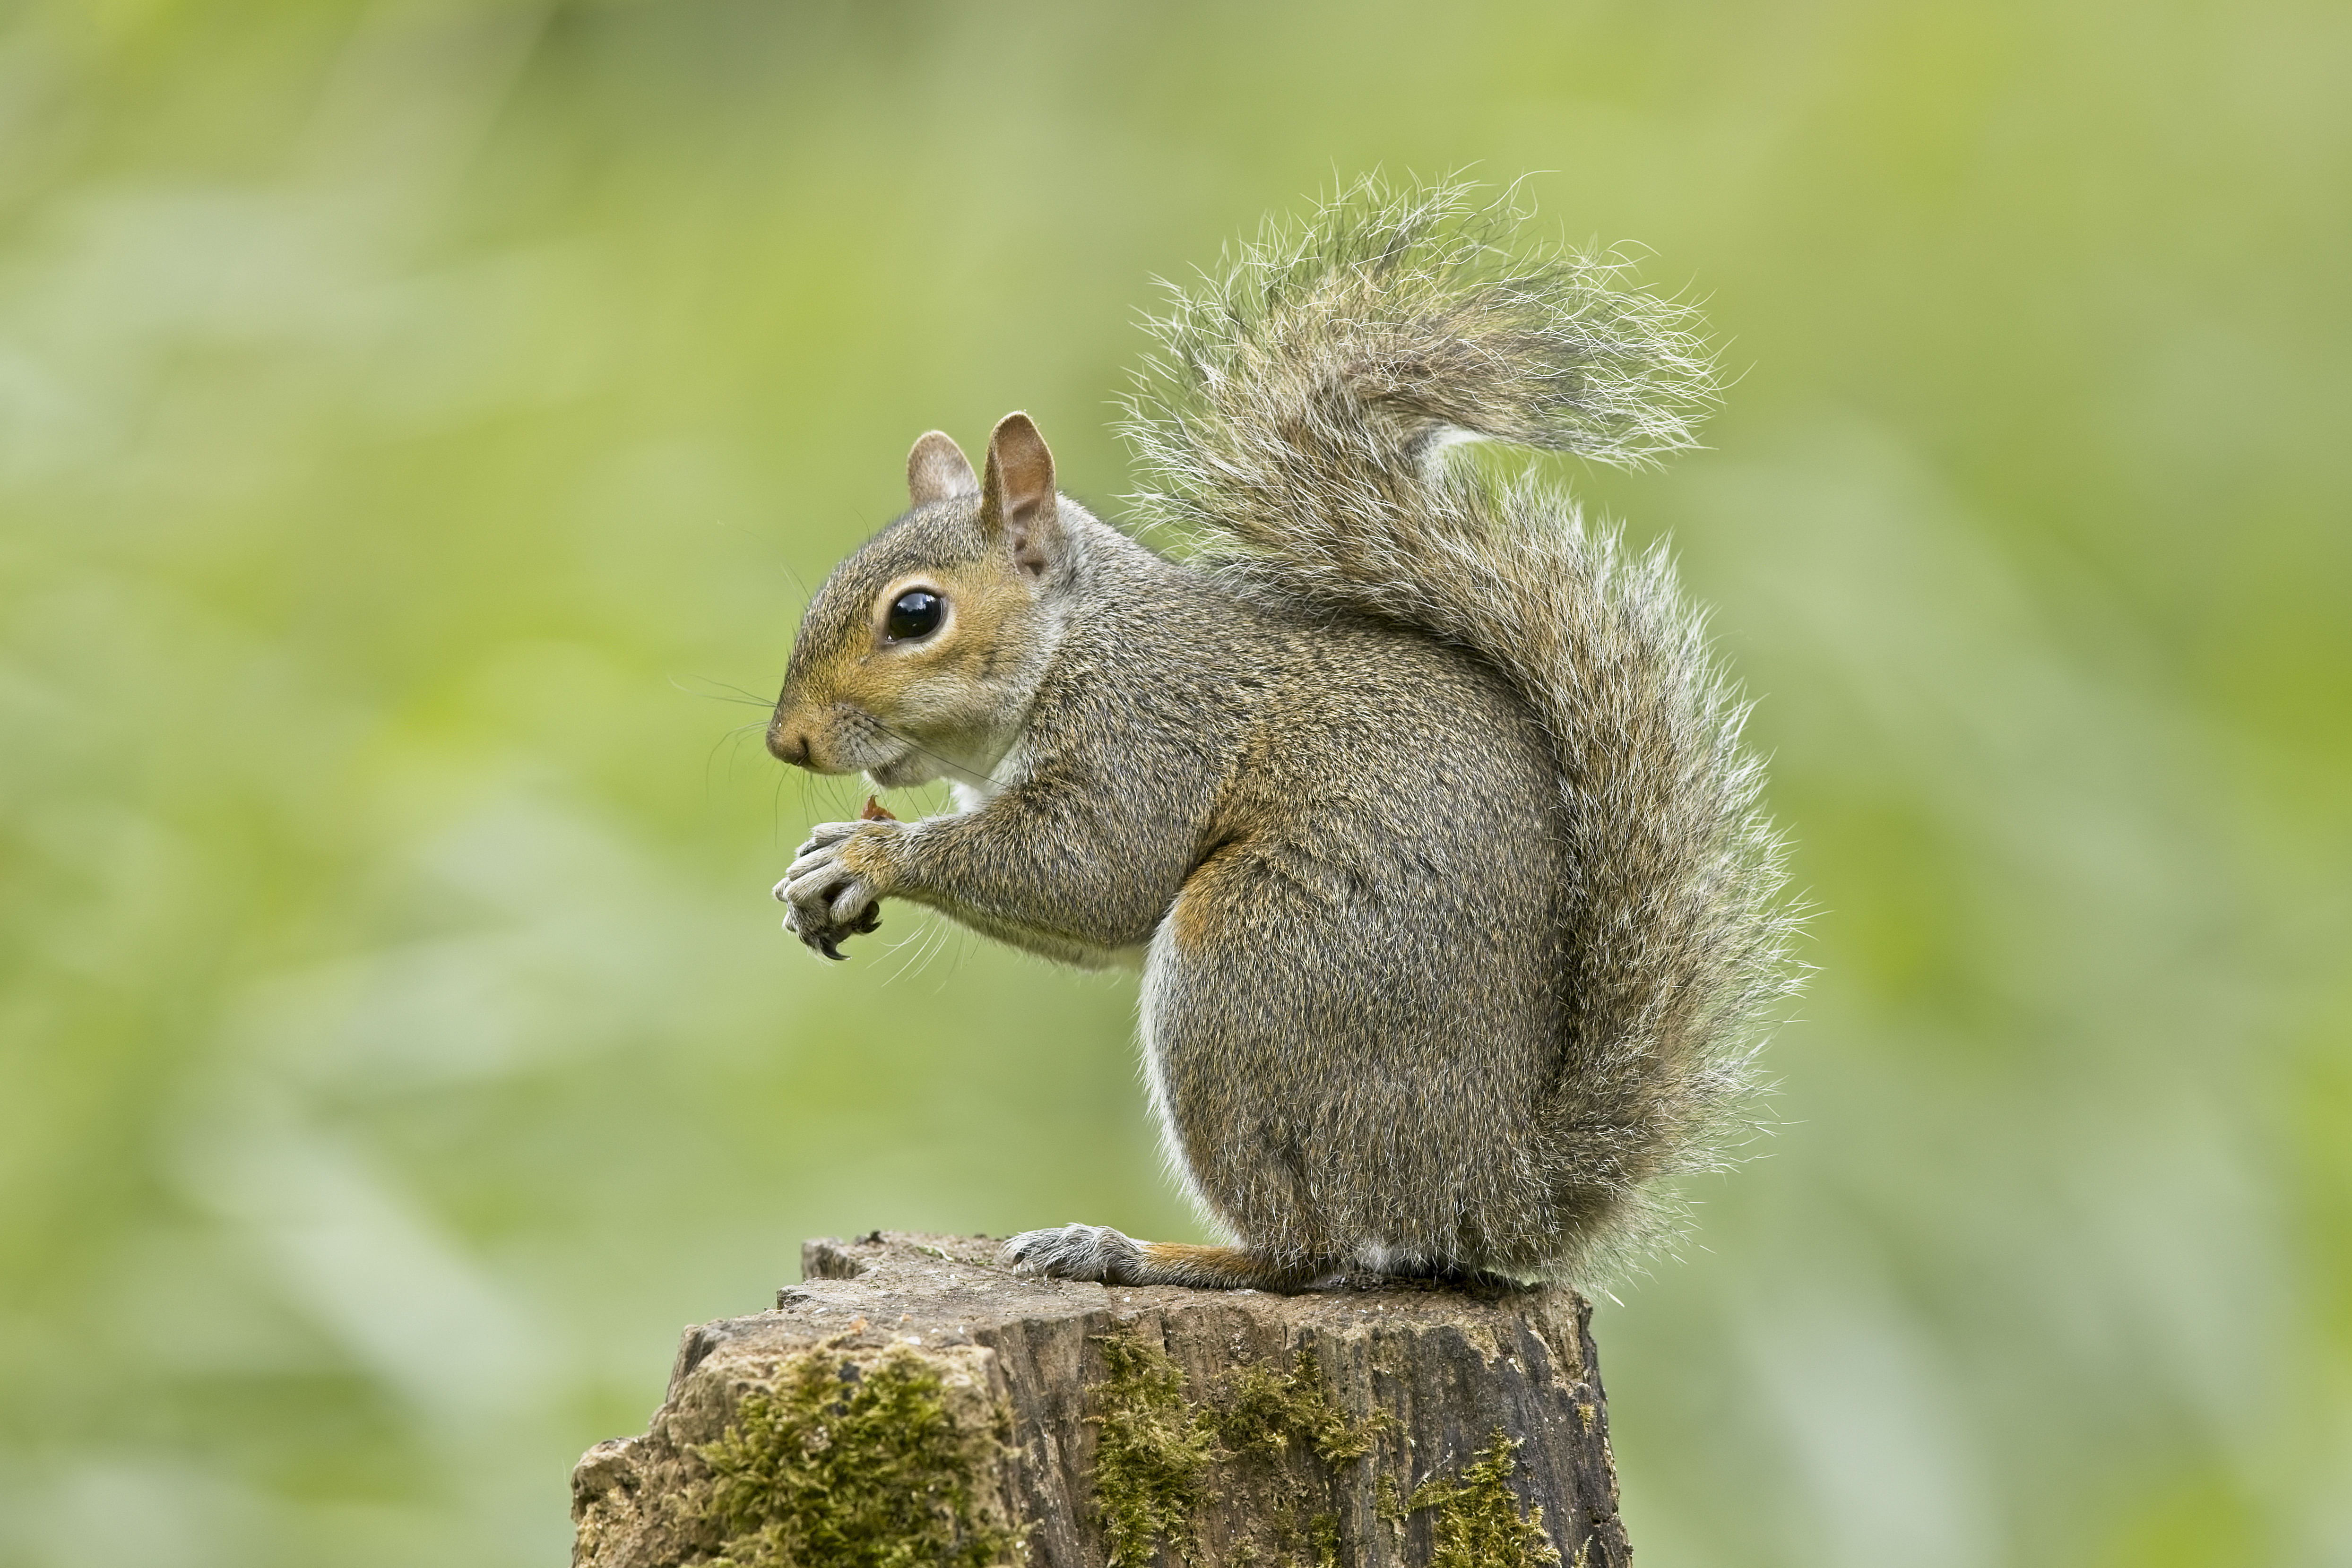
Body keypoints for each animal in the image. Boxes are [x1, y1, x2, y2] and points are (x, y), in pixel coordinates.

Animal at [765, 179, 1801, 1290]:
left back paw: (1134, 1250)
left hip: (1248, 973)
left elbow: (1096, 873)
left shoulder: (1150, 731)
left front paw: (869, 854)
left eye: (917, 614)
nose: (788, 744)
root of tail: (1488, 1193)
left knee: (1306, 1247)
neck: (1076, 642)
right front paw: (829, 864)